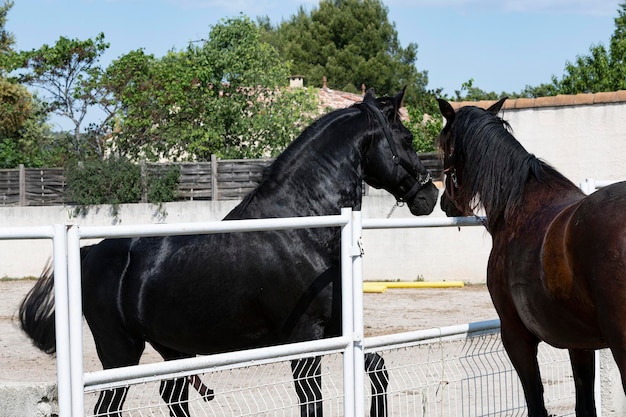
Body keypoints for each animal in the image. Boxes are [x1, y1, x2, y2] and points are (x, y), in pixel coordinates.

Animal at [20, 88, 438, 416]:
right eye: (407, 138)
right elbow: (311, 402)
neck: (302, 228)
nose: (429, 196)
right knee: (111, 407)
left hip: (172, 348)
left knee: (173, 397)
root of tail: (91, 252)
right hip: (119, 353)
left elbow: (378, 370)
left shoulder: (337, 329)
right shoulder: (306, 337)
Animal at [436, 96, 624, 414]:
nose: (443, 202)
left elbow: (536, 403)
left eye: (443, 145)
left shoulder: (516, 337)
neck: (516, 206)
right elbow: (585, 405)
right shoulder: (579, 342)